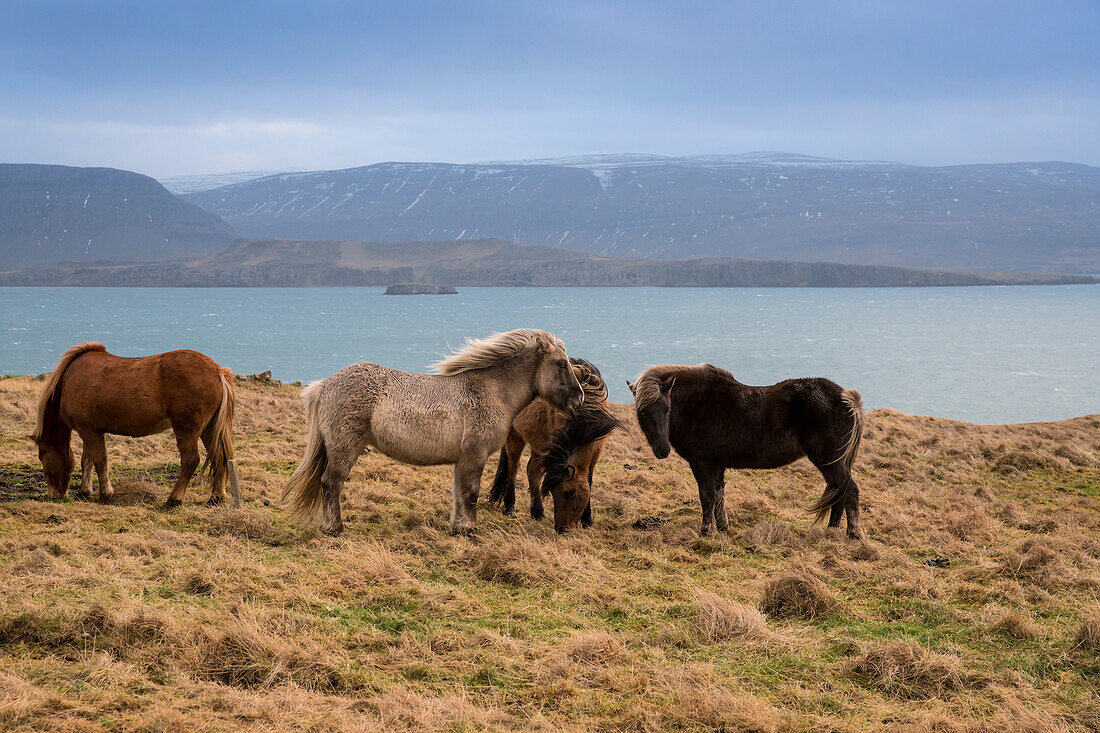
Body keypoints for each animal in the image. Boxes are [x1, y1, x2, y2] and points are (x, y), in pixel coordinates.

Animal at [31, 341, 236, 501]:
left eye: (43, 457)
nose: (55, 495)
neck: (68, 381)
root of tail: (217, 370)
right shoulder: (89, 430)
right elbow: (87, 460)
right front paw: (85, 490)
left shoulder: (89, 430)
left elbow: (100, 460)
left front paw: (106, 493)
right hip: (209, 429)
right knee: (220, 456)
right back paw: (216, 497)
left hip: (187, 430)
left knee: (191, 460)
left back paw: (174, 499)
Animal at [281, 327, 585, 534]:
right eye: (561, 364)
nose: (578, 398)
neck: (492, 390)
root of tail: (326, 384)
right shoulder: (474, 457)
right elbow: (470, 493)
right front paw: (469, 529)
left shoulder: (463, 461)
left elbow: (459, 494)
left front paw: (458, 527)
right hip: (344, 448)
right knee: (331, 483)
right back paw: (334, 528)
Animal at [490, 354, 620, 530]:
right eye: (553, 493)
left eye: (569, 493)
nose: (562, 529)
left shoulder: (596, 451)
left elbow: (589, 480)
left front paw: (587, 520)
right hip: (514, 435)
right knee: (513, 467)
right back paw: (510, 507)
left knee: (532, 470)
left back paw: (537, 512)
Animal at [629, 363, 866, 537]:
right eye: (642, 411)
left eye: (666, 409)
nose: (662, 450)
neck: (696, 403)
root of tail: (847, 399)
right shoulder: (717, 465)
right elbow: (719, 494)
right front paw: (722, 526)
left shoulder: (702, 464)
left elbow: (707, 496)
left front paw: (706, 531)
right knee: (838, 492)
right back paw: (832, 531)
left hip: (829, 461)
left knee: (849, 491)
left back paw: (853, 534)